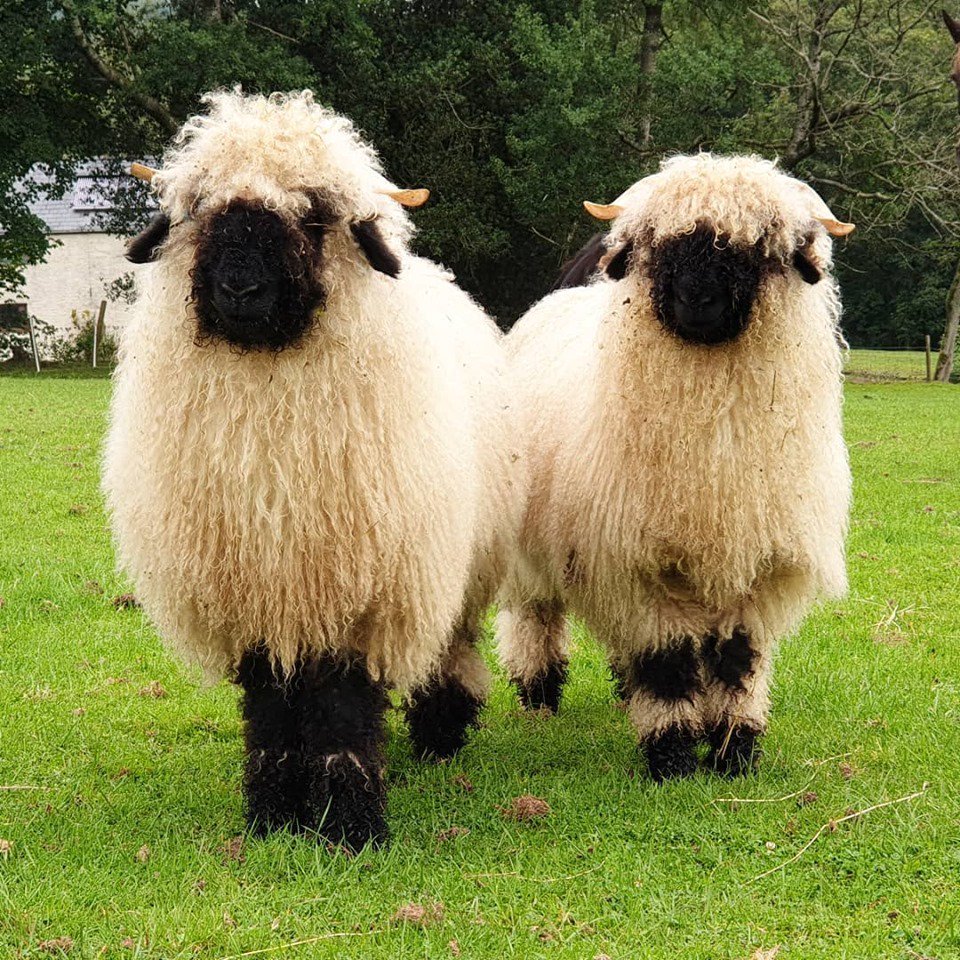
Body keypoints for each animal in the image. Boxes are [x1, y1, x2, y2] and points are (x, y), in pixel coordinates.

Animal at [102, 89, 524, 848]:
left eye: (315, 215)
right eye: (202, 208)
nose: (239, 287)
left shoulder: (357, 585)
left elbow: (339, 707)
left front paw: (349, 825)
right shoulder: (257, 585)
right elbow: (272, 707)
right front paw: (273, 815)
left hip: (454, 562)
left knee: (447, 648)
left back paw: (439, 738)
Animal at [496, 153, 853, 781]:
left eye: (759, 248)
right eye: (658, 245)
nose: (697, 300)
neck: (710, 458)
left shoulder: (757, 564)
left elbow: (738, 660)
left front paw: (735, 751)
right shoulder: (643, 566)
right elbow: (667, 663)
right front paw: (672, 757)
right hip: (533, 556)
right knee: (535, 620)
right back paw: (538, 696)